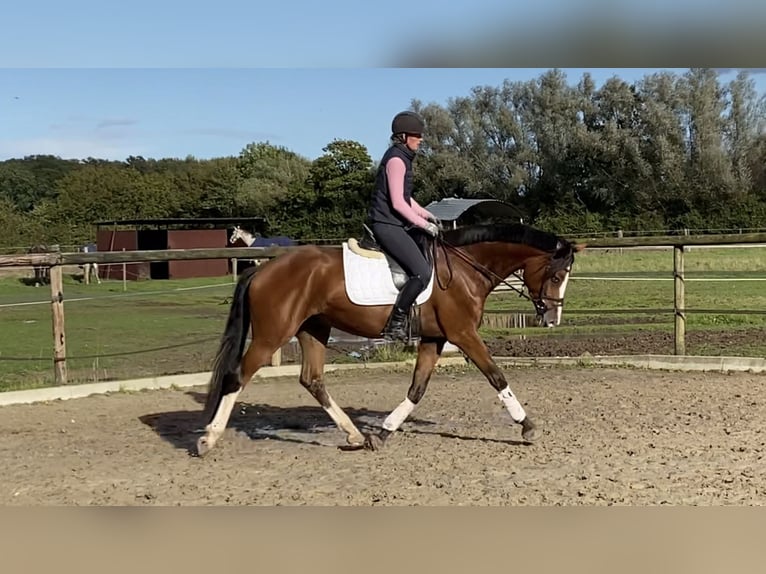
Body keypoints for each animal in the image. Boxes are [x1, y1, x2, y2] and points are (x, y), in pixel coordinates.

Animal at [198, 223, 588, 456]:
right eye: (557, 275)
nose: (552, 319)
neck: (465, 269)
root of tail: (263, 268)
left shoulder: (434, 338)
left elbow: (416, 389)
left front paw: (383, 431)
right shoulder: (463, 334)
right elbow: (496, 376)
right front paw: (527, 426)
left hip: (313, 328)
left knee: (313, 379)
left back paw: (355, 435)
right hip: (272, 334)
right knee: (237, 377)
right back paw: (208, 438)